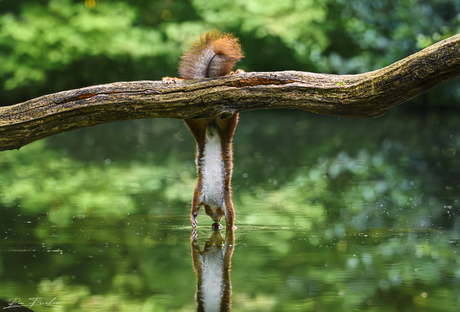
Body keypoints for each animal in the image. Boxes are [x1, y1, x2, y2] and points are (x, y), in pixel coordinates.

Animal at [163, 31, 244, 229]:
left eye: (217, 214)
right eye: (208, 212)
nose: (216, 221)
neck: (214, 204)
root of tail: (211, 119)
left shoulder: (226, 202)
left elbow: (231, 221)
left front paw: (227, 227)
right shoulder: (199, 195)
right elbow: (194, 209)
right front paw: (196, 221)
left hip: (224, 121)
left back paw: (236, 72)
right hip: (195, 119)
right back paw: (172, 80)